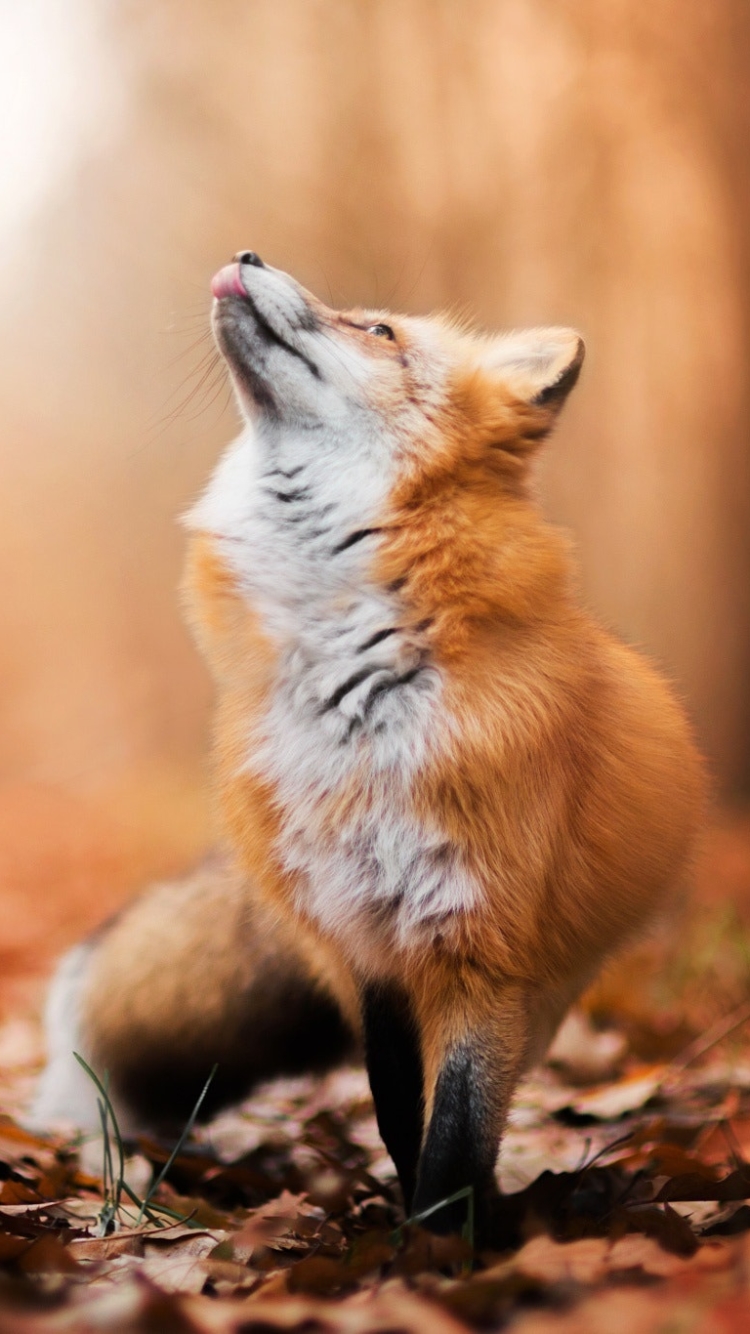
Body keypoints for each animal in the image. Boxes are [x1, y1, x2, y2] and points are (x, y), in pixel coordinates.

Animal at [33, 251, 705, 1237]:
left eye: (379, 331)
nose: (247, 256)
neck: (354, 702)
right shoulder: (363, 945)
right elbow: (399, 1114)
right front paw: (416, 1236)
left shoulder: (480, 945)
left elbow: (455, 1133)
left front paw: (437, 1253)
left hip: (547, 983)